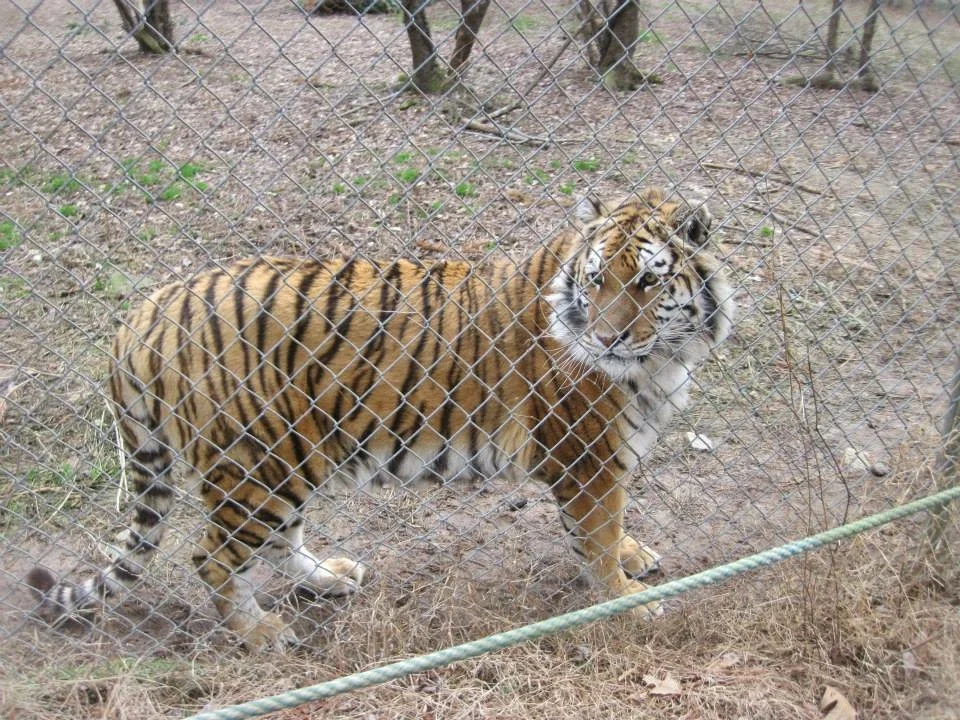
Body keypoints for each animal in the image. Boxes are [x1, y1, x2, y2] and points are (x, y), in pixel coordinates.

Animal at [27, 187, 734, 651]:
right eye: (595, 279)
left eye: (646, 282)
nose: (607, 340)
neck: (665, 356)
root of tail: (143, 312)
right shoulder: (587, 462)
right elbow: (597, 540)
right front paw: (629, 605)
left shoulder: (606, 461)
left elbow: (611, 531)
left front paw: (634, 555)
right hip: (257, 464)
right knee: (212, 559)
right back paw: (261, 633)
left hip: (287, 457)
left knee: (278, 541)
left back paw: (330, 579)